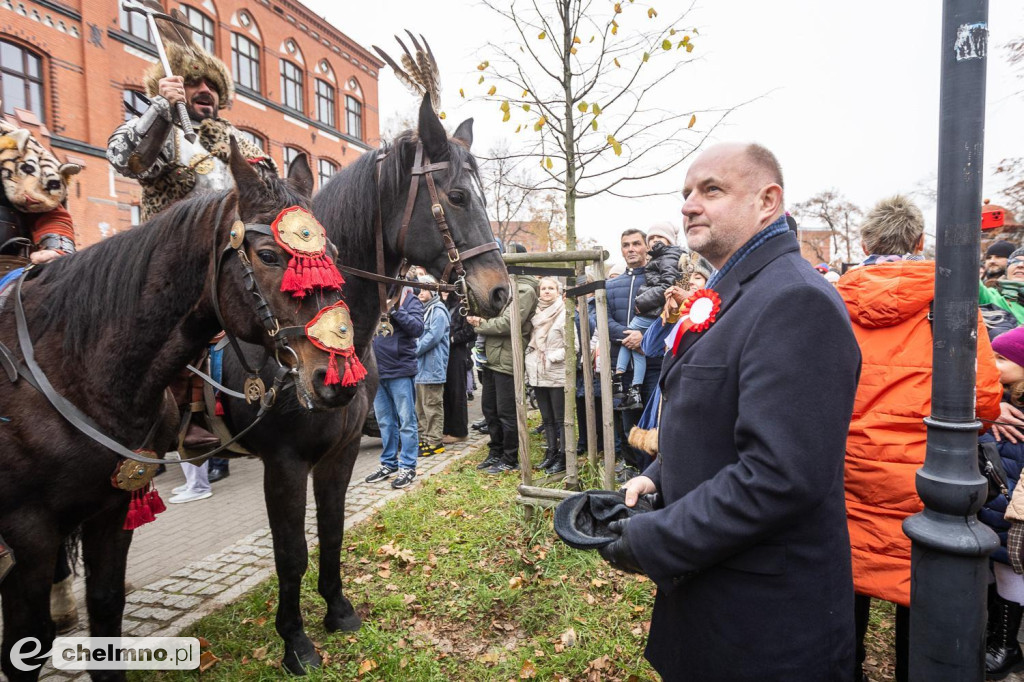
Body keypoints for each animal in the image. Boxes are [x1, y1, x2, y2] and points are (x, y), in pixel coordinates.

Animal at [0, 140, 364, 675]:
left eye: (335, 256)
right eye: (270, 255)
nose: (337, 378)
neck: (70, 364)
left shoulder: (110, 510)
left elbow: (105, 608)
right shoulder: (28, 527)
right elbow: (292, 550)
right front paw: (297, 644)